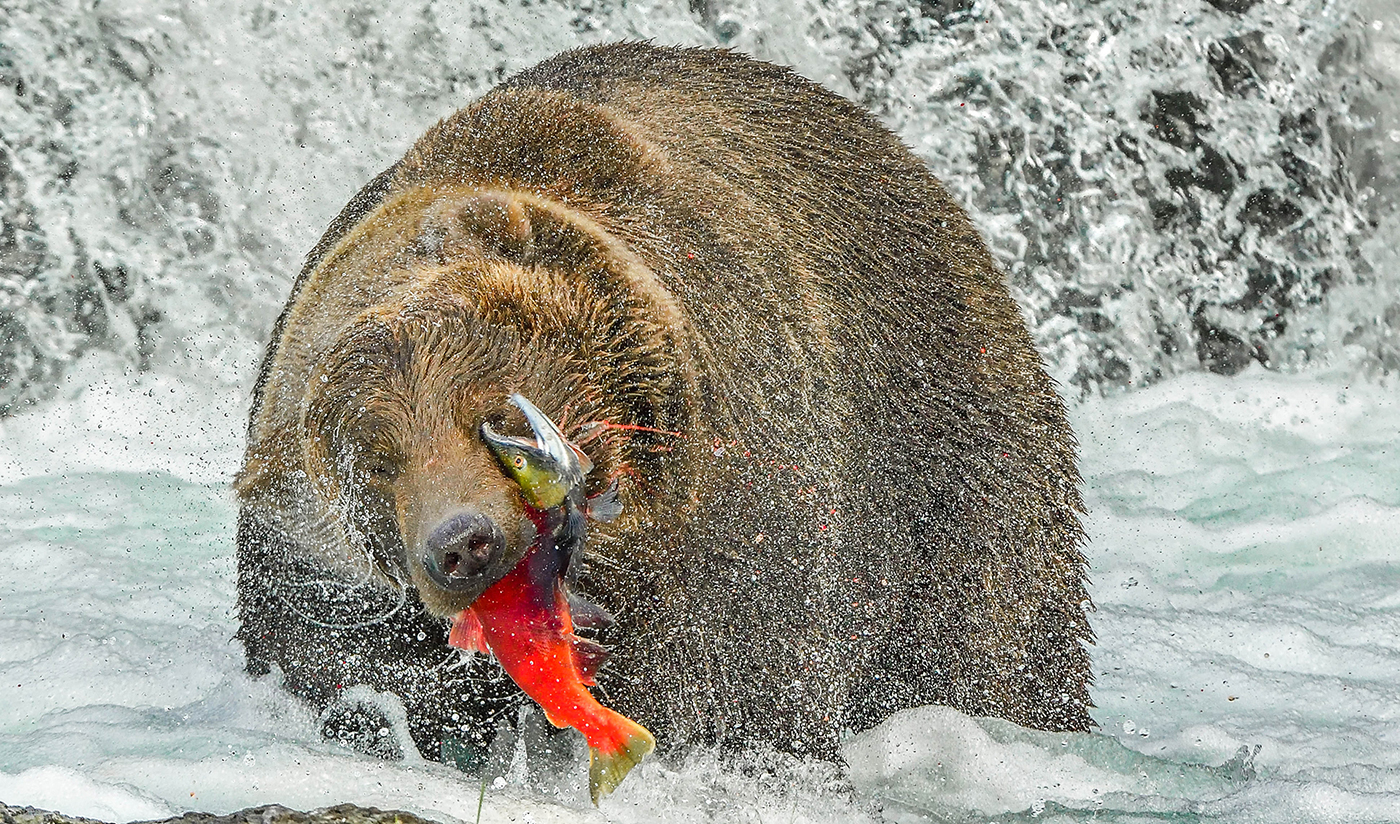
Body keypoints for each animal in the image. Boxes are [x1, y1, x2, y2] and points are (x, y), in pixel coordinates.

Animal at [234, 42, 1094, 777]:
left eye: (488, 408)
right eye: (378, 464)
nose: (463, 543)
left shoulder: (742, 483)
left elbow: (738, 677)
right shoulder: (310, 567)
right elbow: (338, 667)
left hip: (950, 453)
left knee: (994, 641)